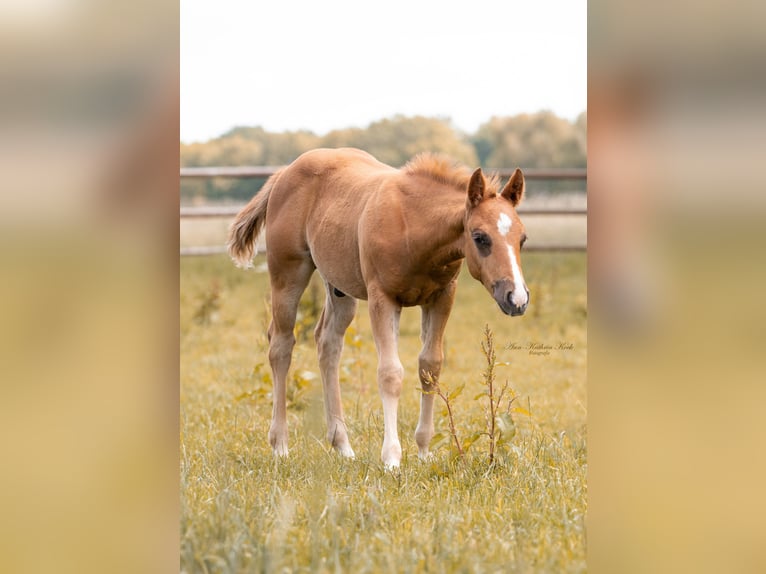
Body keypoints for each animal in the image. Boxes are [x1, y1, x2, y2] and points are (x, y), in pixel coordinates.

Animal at [228, 148, 529, 468]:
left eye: (522, 239)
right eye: (480, 237)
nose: (517, 298)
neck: (414, 225)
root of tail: (284, 173)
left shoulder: (442, 297)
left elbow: (430, 367)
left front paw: (423, 451)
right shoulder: (382, 299)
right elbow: (390, 373)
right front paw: (392, 458)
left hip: (340, 288)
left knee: (327, 343)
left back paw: (343, 446)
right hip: (288, 275)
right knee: (281, 345)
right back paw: (281, 445)